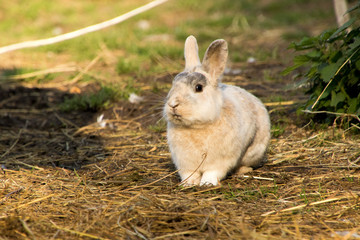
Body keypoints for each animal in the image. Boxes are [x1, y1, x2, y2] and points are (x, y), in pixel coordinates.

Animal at [164, 35, 270, 186]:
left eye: (198, 88)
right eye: (173, 84)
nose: (173, 104)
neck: (196, 126)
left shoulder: (219, 162)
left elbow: (211, 172)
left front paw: (207, 183)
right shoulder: (185, 163)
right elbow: (189, 174)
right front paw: (188, 184)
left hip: (254, 151)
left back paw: (242, 171)